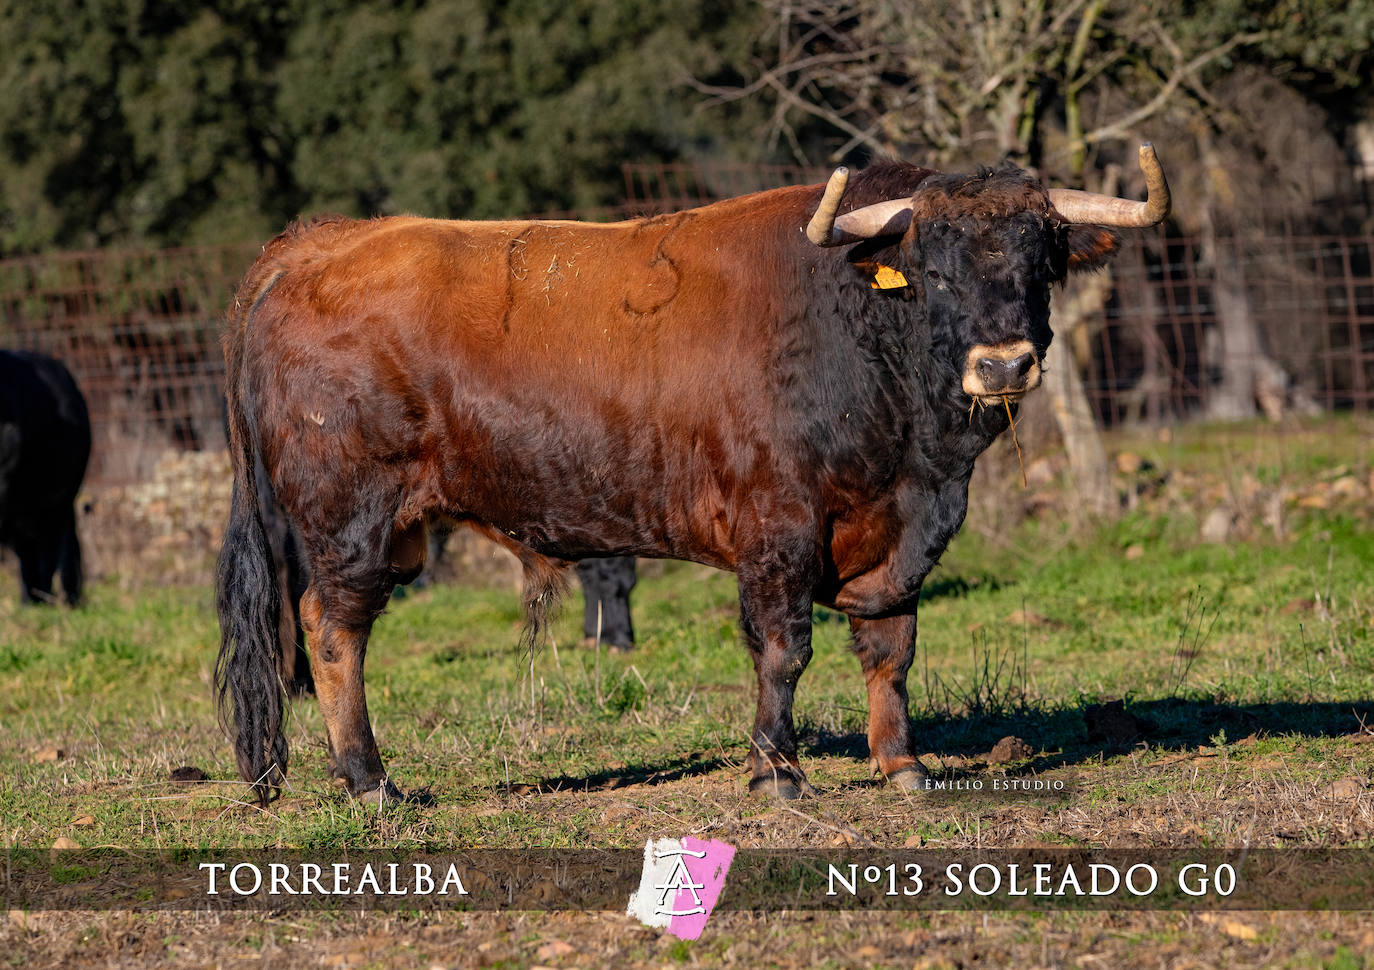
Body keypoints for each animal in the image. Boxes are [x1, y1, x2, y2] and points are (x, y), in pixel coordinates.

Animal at [214, 145, 1170, 802]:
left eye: (1043, 262)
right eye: (934, 271)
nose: (1003, 364)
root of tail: (319, 243)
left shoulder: (904, 534)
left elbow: (889, 649)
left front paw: (901, 764)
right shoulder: (779, 527)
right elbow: (784, 649)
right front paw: (777, 771)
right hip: (352, 521)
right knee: (333, 632)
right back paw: (370, 780)